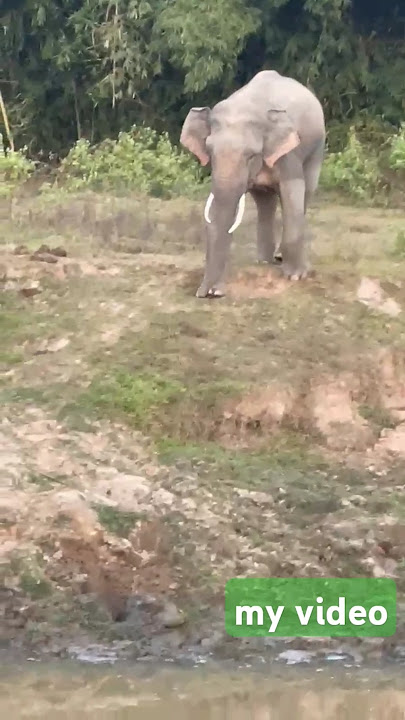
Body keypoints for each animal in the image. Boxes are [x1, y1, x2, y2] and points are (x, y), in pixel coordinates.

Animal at [180, 70, 326, 298]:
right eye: (210, 151)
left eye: (250, 155)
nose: (208, 293)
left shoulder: (289, 153)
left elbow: (292, 191)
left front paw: (295, 277)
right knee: (265, 202)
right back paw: (264, 261)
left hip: (317, 147)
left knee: (306, 193)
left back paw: (281, 259)